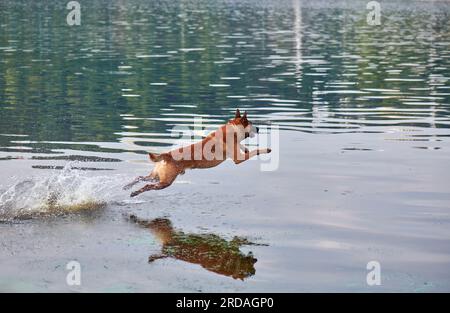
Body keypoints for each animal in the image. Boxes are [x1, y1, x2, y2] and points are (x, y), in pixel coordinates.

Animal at [123, 109, 270, 196]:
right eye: (251, 123)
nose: (258, 128)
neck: (233, 129)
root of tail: (167, 155)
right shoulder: (238, 159)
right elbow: (255, 151)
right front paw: (266, 149)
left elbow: (241, 145)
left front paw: (244, 147)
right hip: (165, 181)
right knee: (148, 185)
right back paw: (135, 193)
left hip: (157, 176)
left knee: (141, 177)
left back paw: (128, 187)